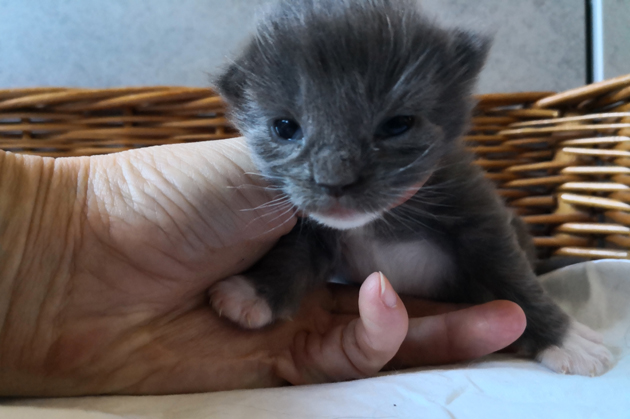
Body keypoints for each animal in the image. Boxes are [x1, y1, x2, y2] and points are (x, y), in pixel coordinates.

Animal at [209, 0, 612, 376]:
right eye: (285, 127)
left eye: (397, 125)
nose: (334, 181)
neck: (379, 222)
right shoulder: (318, 228)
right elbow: (295, 252)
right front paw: (253, 291)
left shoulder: (479, 213)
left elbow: (512, 274)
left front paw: (564, 339)